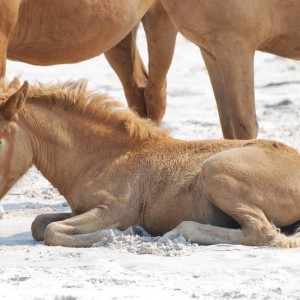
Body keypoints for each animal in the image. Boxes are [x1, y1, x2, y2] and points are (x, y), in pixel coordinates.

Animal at [0, 78, 300, 248]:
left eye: (0, 142)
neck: (105, 158)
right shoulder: (79, 210)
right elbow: (39, 223)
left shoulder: (112, 211)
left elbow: (51, 231)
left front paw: (126, 233)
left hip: (215, 172)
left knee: (265, 234)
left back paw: (169, 235)